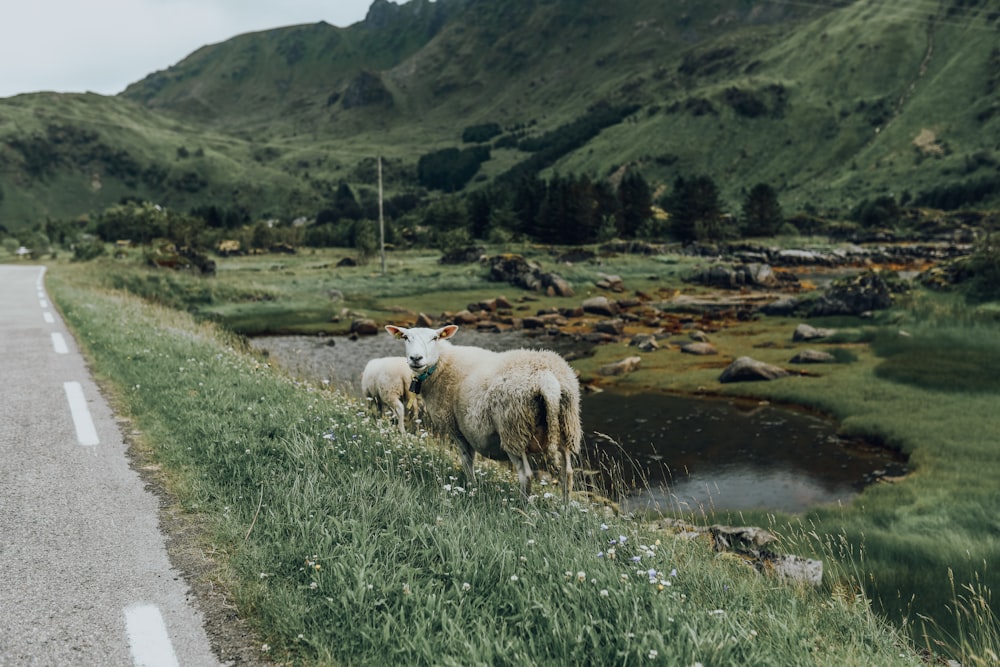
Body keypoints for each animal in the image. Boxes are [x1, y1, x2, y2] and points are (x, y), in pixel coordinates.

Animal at [384, 324, 584, 500]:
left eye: (434, 338)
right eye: (406, 337)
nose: (416, 358)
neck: (442, 365)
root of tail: (546, 379)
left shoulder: (456, 428)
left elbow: (467, 460)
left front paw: (472, 488)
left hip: (512, 428)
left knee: (525, 475)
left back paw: (523, 507)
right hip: (566, 426)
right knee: (567, 473)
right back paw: (565, 508)